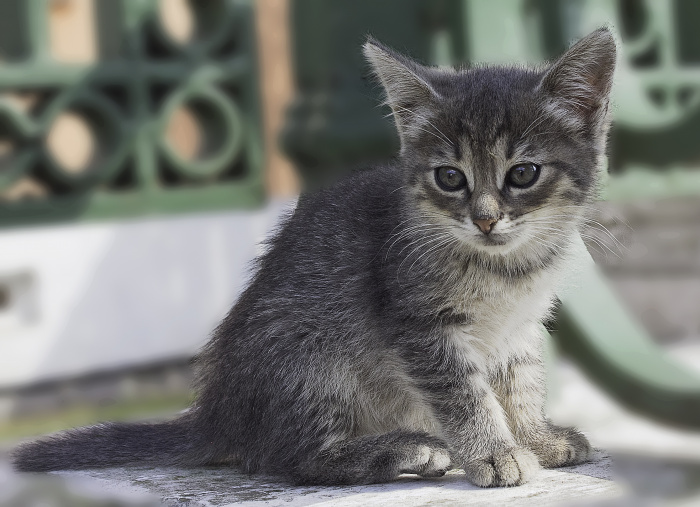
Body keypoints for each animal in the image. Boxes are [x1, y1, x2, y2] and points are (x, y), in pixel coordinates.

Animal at [9, 27, 612, 488]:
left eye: (523, 173)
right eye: (449, 177)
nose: (485, 219)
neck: (508, 270)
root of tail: (216, 415)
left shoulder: (520, 327)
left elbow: (521, 380)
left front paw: (534, 435)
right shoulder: (421, 326)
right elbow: (465, 393)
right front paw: (494, 453)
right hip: (310, 352)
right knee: (286, 458)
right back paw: (400, 451)